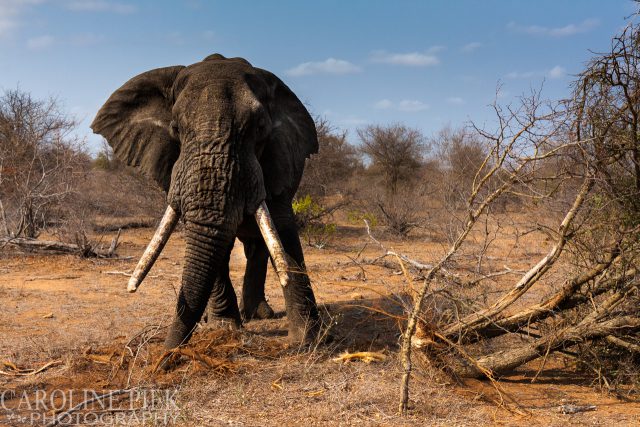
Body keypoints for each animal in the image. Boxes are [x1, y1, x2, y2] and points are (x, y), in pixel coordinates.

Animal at [90, 53, 320, 350]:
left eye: (260, 128)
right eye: (175, 128)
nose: (166, 352)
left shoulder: (278, 160)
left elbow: (282, 230)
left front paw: (307, 340)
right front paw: (224, 328)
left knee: (258, 244)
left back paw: (259, 315)